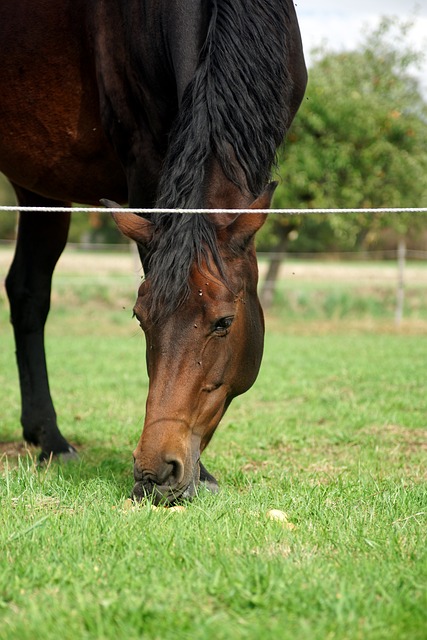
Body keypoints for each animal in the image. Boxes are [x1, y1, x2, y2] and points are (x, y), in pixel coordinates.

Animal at [0, 0, 306, 503]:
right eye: (140, 319)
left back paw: (49, 439)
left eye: (224, 322)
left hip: (39, 186)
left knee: (28, 292)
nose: (155, 471)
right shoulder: (144, 162)